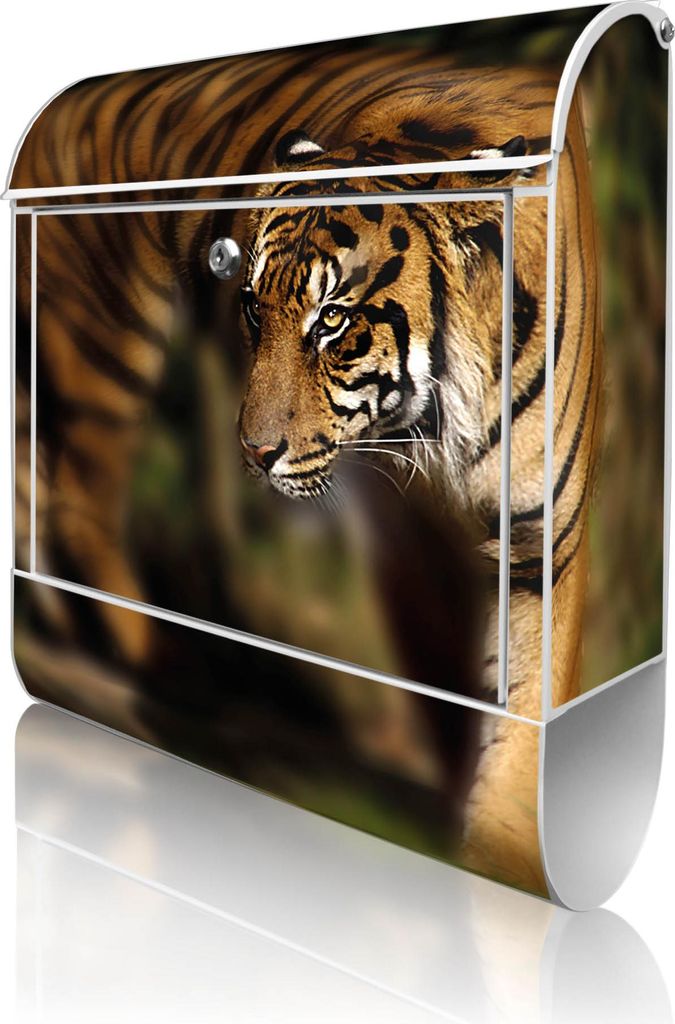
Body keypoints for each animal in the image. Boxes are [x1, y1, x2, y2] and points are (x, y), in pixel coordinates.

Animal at [11, 30, 601, 894]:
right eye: (252, 307)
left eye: (332, 321)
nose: (252, 452)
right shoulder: (402, 533)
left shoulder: (539, 543)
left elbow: (527, 713)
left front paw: (500, 851)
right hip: (103, 334)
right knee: (79, 502)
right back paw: (162, 668)